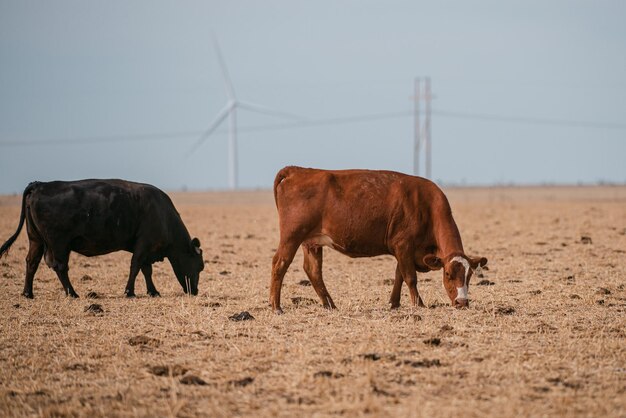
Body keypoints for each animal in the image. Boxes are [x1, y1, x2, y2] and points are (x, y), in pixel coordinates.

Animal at [0, 179, 205, 298]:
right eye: (200, 266)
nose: (195, 291)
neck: (163, 215)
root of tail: (40, 184)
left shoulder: (147, 248)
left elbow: (146, 270)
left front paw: (153, 291)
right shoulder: (144, 245)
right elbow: (136, 267)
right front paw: (129, 292)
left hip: (36, 240)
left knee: (31, 262)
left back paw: (28, 293)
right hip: (58, 244)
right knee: (60, 267)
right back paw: (72, 293)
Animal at [270, 167, 486, 314]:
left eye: (469, 275)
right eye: (448, 274)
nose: (462, 302)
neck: (426, 206)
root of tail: (297, 170)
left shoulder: (404, 251)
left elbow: (399, 275)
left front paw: (394, 303)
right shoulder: (403, 245)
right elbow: (410, 277)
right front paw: (419, 304)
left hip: (312, 242)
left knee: (313, 271)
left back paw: (330, 305)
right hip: (292, 236)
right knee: (280, 264)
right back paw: (276, 306)